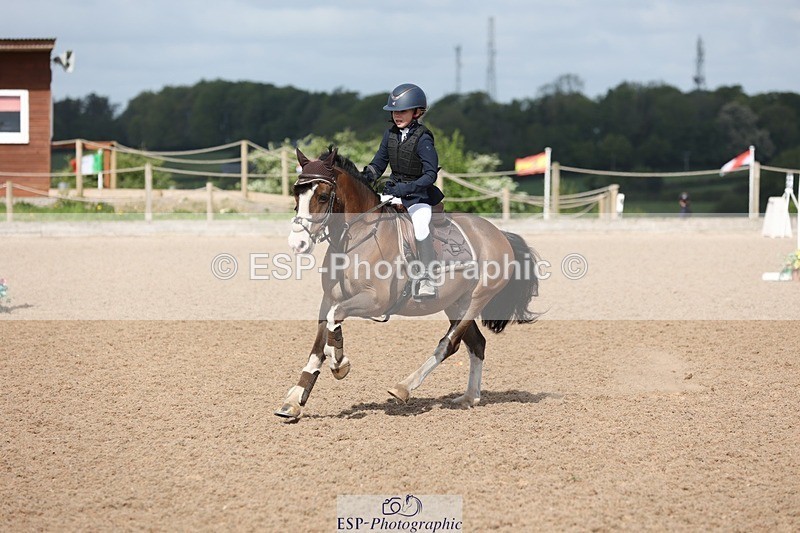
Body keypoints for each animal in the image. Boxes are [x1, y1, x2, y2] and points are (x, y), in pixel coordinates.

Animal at [275, 146, 539, 419]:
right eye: (297, 192)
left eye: (323, 196)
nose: (298, 244)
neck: (357, 237)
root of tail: (499, 234)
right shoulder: (329, 299)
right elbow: (318, 345)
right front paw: (293, 401)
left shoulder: (374, 301)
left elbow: (334, 321)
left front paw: (339, 363)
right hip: (455, 303)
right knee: (477, 344)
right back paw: (469, 398)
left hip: (475, 300)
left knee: (449, 344)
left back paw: (403, 387)